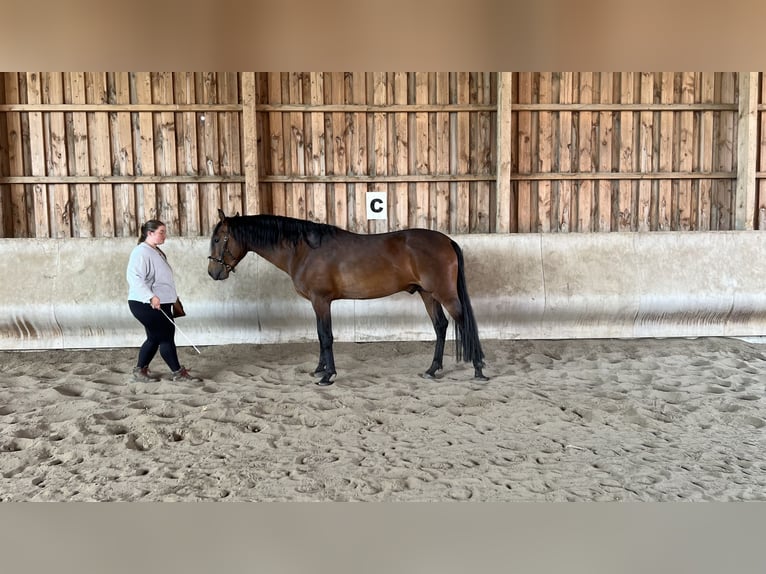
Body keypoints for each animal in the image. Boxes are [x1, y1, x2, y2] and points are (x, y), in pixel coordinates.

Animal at [207, 209, 487, 386]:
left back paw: (478, 369)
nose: (213, 272)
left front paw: (327, 376)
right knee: (440, 326)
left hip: (444, 294)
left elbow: (326, 336)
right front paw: (319, 369)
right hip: (428, 294)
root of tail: (447, 240)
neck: (304, 251)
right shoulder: (317, 303)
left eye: (219, 239)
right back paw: (432, 369)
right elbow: (320, 335)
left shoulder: (321, 301)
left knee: (464, 324)